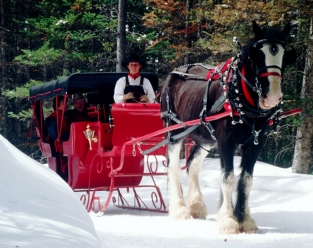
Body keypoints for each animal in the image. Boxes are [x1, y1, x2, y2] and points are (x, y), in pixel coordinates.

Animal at [161, 20, 294, 233]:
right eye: (258, 55)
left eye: (284, 55)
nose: (272, 97)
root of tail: (173, 74)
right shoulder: (226, 142)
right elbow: (228, 178)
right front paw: (228, 220)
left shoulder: (256, 143)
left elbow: (246, 181)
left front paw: (245, 219)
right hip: (174, 130)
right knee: (173, 167)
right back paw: (179, 209)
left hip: (205, 137)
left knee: (192, 165)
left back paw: (196, 206)